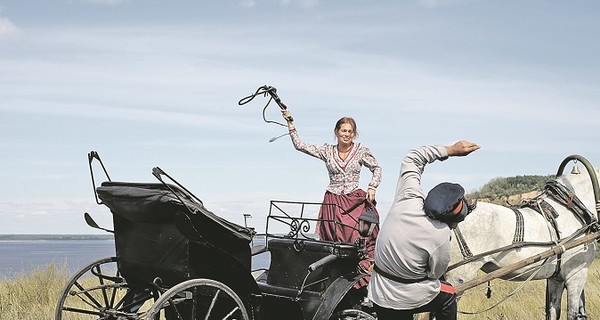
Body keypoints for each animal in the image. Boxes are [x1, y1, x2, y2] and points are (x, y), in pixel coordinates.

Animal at [442, 158, 596, 320]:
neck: (572, 211)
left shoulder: (557, 278)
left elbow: (554, 310)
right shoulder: (577, 274)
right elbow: (572, 313)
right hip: (458, 278)